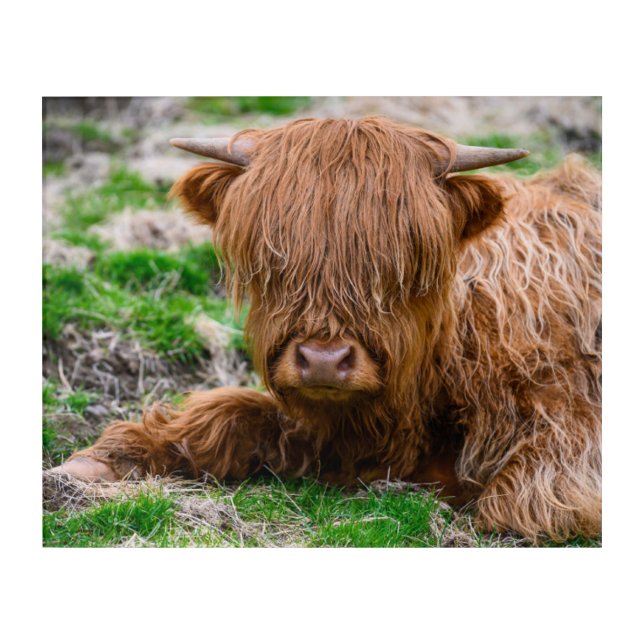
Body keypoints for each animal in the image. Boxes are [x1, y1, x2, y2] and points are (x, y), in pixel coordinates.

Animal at [52, 117, 602, 543]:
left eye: (399, 267)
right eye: (274, 262)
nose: (322, 362)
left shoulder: (567, 435)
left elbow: (522, 504)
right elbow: (229, 412)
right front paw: (103, 462)